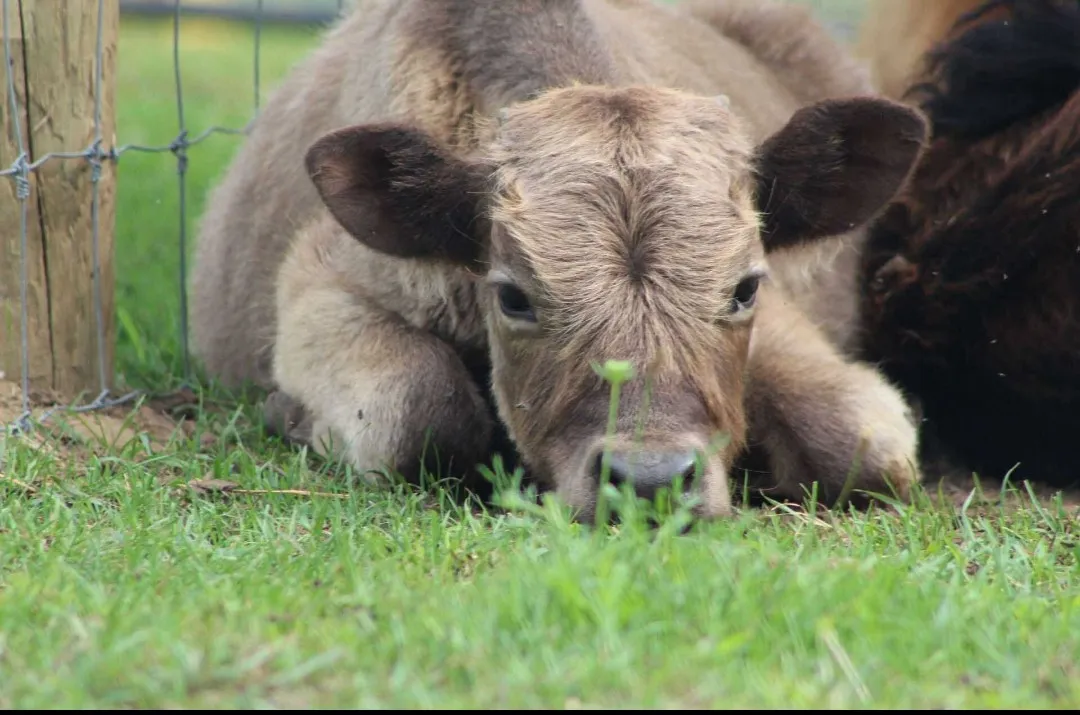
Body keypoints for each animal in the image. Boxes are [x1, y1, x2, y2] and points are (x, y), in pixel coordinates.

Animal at [191, 0, 928, 522]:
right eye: (513, 296)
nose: (651, 480)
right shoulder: (322, 283)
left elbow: (859, 439)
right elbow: (418, 408)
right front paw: (287, 414)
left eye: (744, 289)